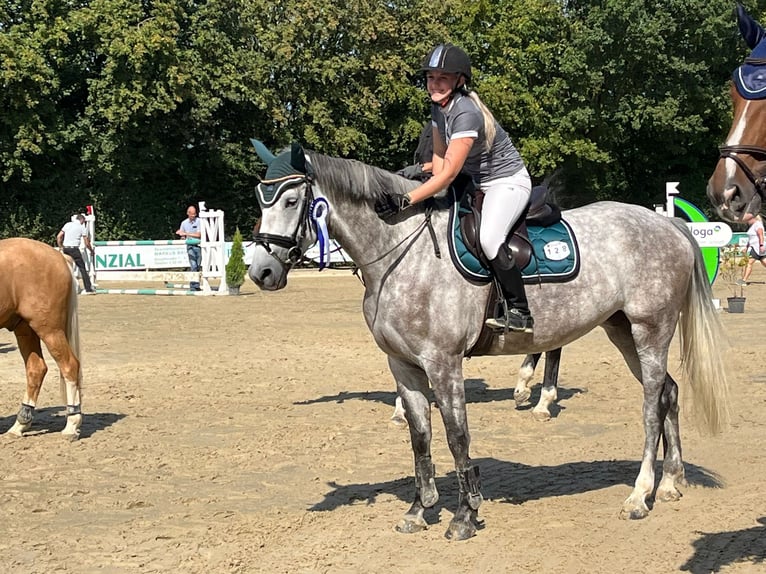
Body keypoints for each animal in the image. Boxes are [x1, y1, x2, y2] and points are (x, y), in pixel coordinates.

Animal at [0, 238, 84, 440]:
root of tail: (59, 256)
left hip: (49, 329)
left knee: (70, 365)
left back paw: (71, 425)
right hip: (25, 329)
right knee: (36, 369)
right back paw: (20, 425)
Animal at [250, 146, 732, 544]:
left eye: (291, 201)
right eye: (261, 200)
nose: (261, 272)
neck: (400, 252)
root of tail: (665, 222)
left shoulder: (442, 363)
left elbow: (456, 436)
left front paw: (464, 515)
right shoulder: (403, 366)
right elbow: (420, 438)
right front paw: (419, 510)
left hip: (650, 329)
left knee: (651, 404)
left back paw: (639, 495)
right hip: (621, 330)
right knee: (669, 392)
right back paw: (670, 483)